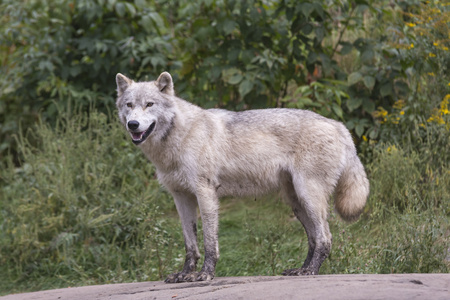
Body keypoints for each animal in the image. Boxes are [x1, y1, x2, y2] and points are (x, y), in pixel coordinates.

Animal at [115, 72, 370, 284]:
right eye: (129, 105)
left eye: (149, 104)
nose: (133, 124)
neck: (179, 137)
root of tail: (339, 126)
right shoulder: (181, 198)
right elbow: (190, 244)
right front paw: (185, 274)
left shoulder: (205, 193)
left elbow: (209, 242)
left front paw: (205, 274)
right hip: (296, 202)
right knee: (314, 239)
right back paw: (300, 269)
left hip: (308, 196)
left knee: (325, 238)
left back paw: (311, 271)